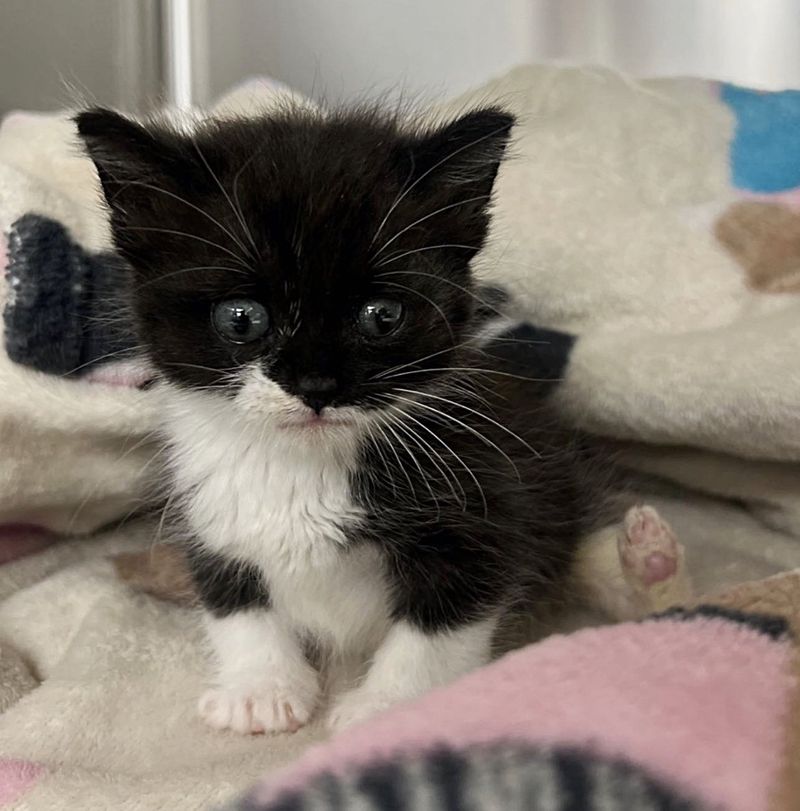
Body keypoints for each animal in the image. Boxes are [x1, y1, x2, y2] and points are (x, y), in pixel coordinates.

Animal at [76, 101, 688, 736]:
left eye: (382, 315)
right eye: (241, 318)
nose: (317, 387)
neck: (304, 463)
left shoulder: (485, 499)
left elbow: (437, 627)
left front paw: (390, 707)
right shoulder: (209, 507)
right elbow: (233, 598)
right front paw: (260, 689)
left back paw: (647, 562)